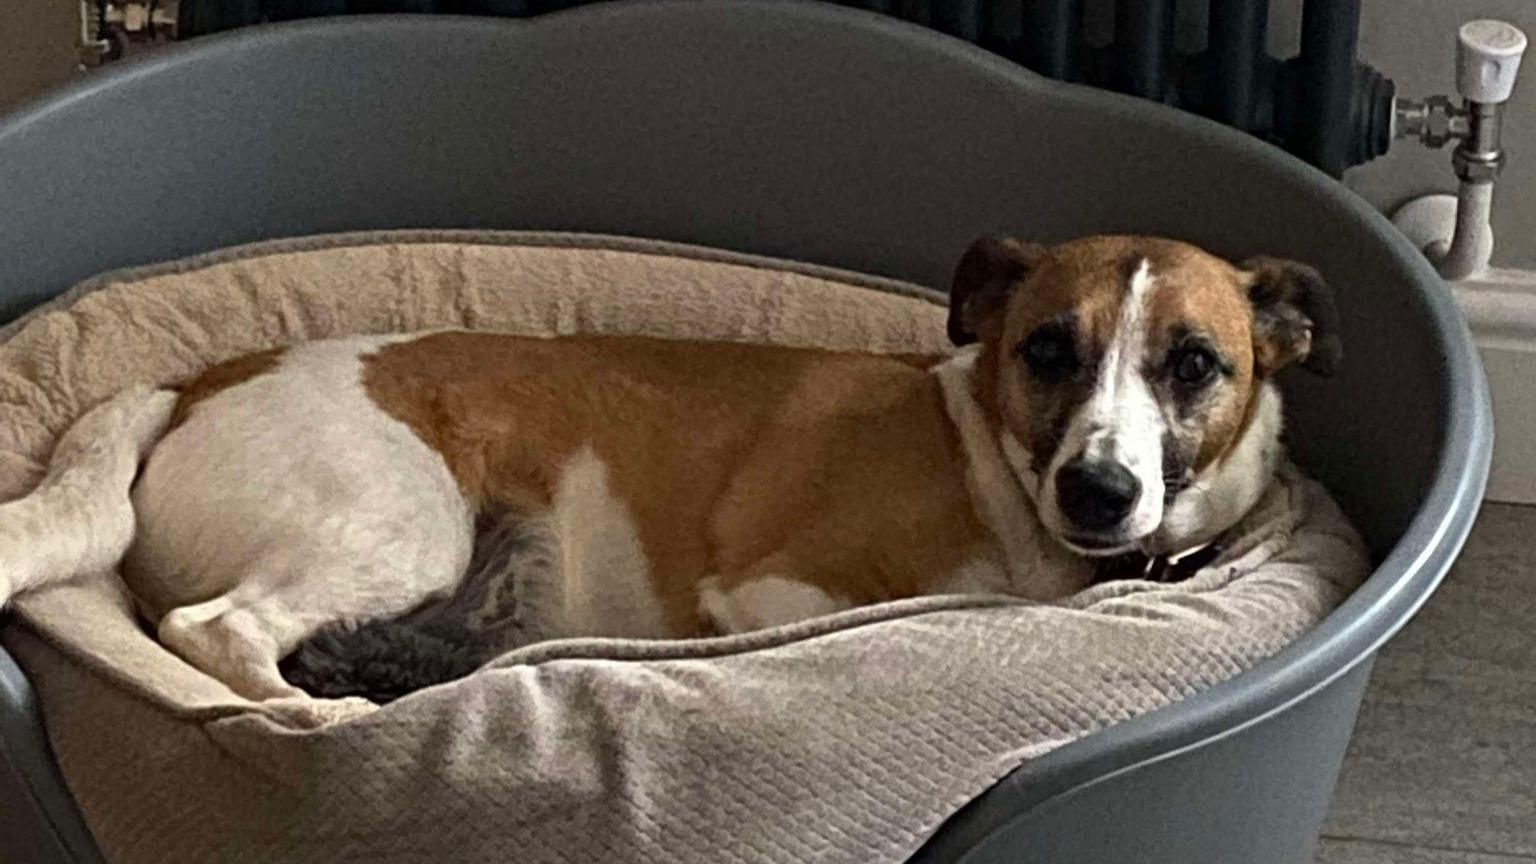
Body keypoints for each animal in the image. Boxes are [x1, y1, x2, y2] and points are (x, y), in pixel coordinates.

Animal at [0, 233, 1333, 701]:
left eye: (1196, 364)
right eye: (1048, 349)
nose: (1100, 492)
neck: (994, 472)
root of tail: (189, 385)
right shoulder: (772, 590)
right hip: (397, 526)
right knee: (216, 634)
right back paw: (304, 715)